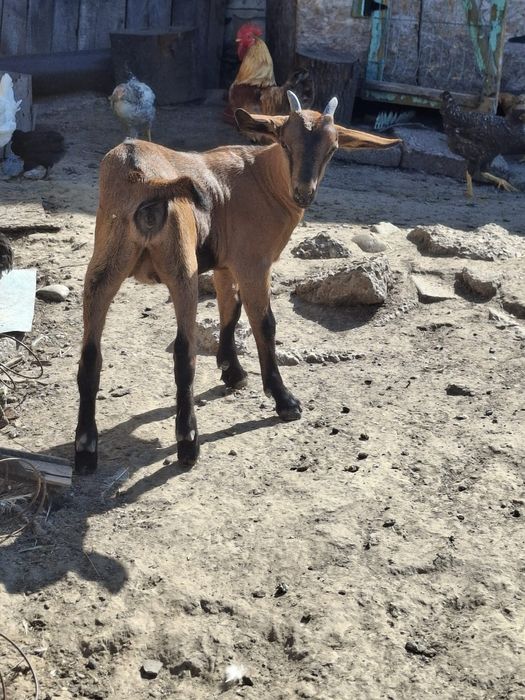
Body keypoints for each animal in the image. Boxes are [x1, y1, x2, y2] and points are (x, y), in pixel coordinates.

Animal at [75, 91, 400, 472]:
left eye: (333, 149)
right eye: (285, 142)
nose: (304, 192)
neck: (261, 179)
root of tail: (140, 177)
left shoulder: (226, 265)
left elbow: (229, 310)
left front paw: (232, 371)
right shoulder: (253, 262)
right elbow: (263, 324)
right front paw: (284, 400)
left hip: (104, 263)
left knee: (90, 353)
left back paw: (85, 449)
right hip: (181, 266)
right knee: (184, 351)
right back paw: (188, 442)